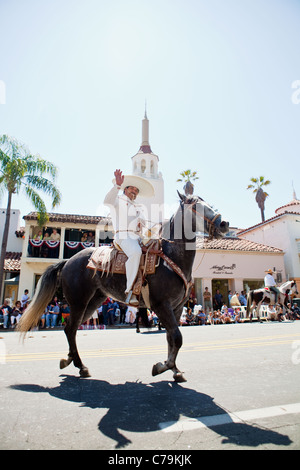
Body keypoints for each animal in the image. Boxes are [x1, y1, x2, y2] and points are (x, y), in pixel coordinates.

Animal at [17, 192, 229, 382]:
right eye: (194, 205)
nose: (224, 223)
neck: (170, 257)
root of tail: (68, 261)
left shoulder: (176, 307)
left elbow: (172, 338)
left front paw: (175, 370)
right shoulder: (161, 305)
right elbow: (177, 337)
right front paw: (162, 366)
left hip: (92, 303)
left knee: (72, 328)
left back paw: (70, 360)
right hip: (78, 302)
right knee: (70, 329)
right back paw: (80, 365)